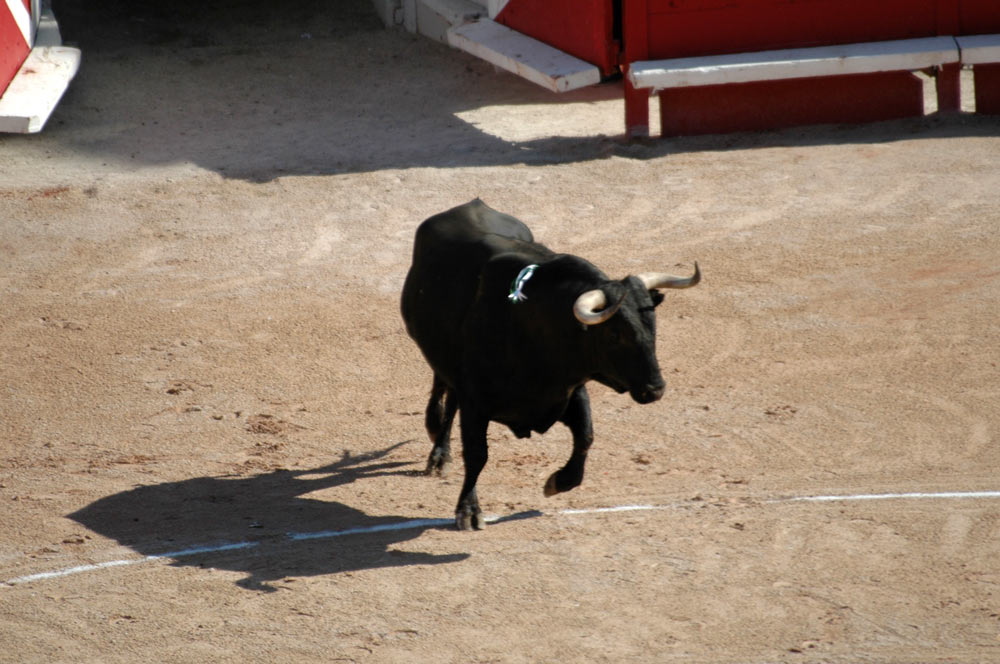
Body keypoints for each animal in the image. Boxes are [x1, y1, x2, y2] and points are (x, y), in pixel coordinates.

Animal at [396, 200, 696, 532]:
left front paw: (557, 482)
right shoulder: (475, 403)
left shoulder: (570, 392)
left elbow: (586, 437)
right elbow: (477, 455)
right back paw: (439, 452)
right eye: (615, 334)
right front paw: (468, 511)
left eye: (652, 324)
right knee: (444, 394)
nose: (655, 389)